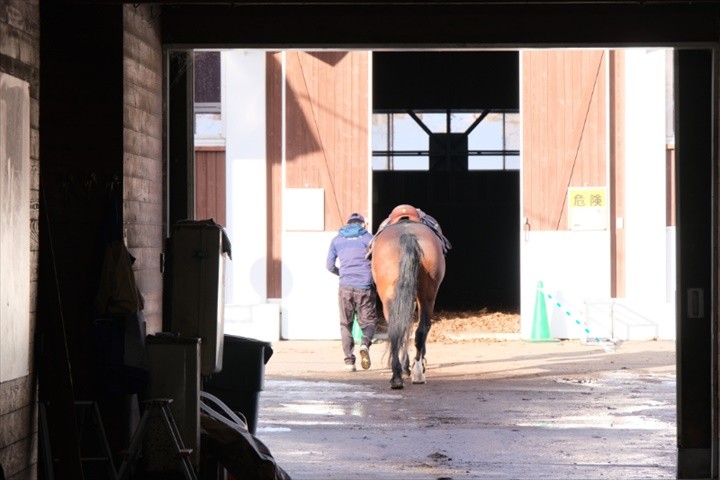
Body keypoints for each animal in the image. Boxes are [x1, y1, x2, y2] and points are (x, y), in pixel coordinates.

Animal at [372, 218, 444, 390]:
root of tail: (408, 235)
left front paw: (405, 368)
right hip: (427, 297)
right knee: (420, 330)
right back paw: (416, 373)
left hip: (391, 298)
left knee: (398, 330)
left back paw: (399, 377)